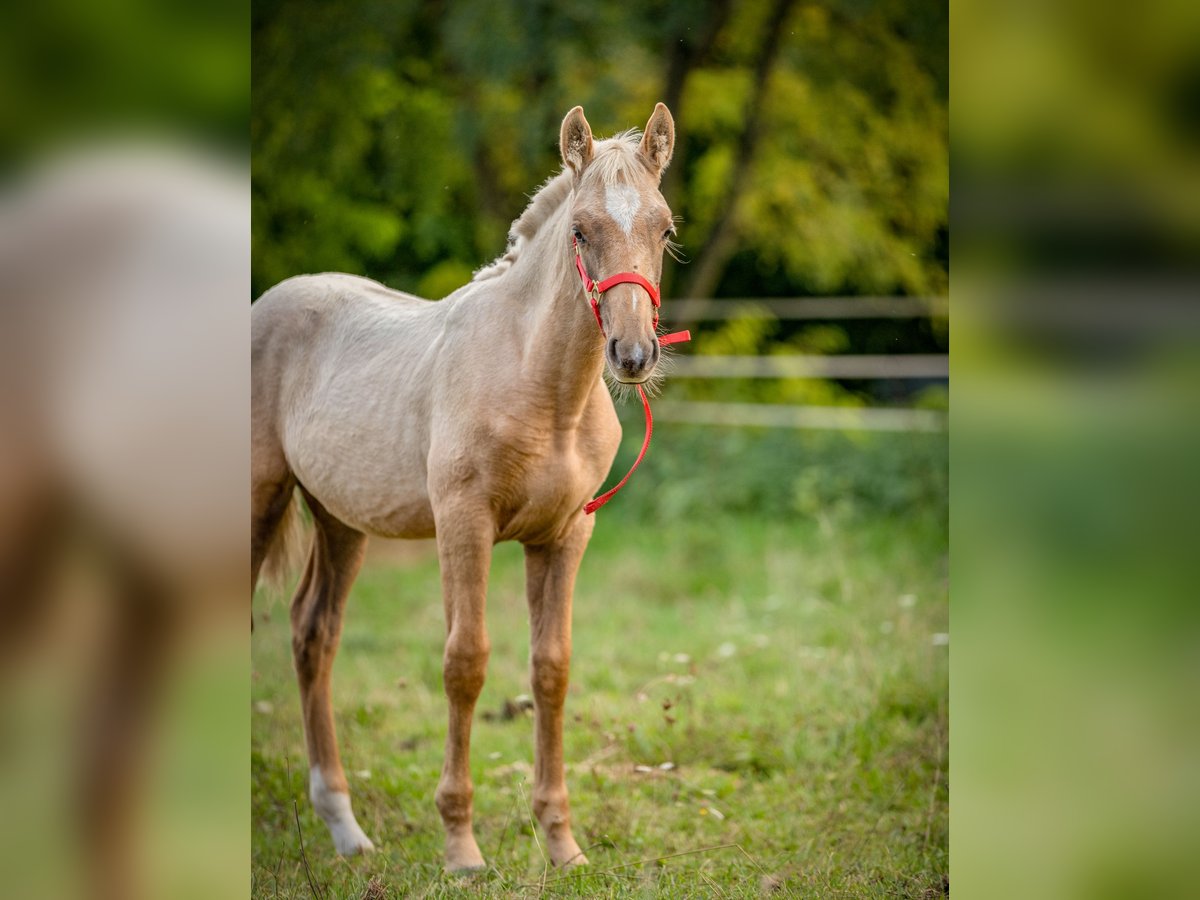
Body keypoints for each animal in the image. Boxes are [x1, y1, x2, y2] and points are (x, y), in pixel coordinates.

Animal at [250, 102, 686, 868]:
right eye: (581, 230)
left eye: (663, 228)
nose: (633, 356)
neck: (542, 390)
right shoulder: (464, 523)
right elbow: (465, 663)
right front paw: (461, 847)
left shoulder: (566, 535)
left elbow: (551, 669)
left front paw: (561, 842)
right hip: (256, 498)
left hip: (340, 521)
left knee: (314, 635)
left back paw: (346, 829)